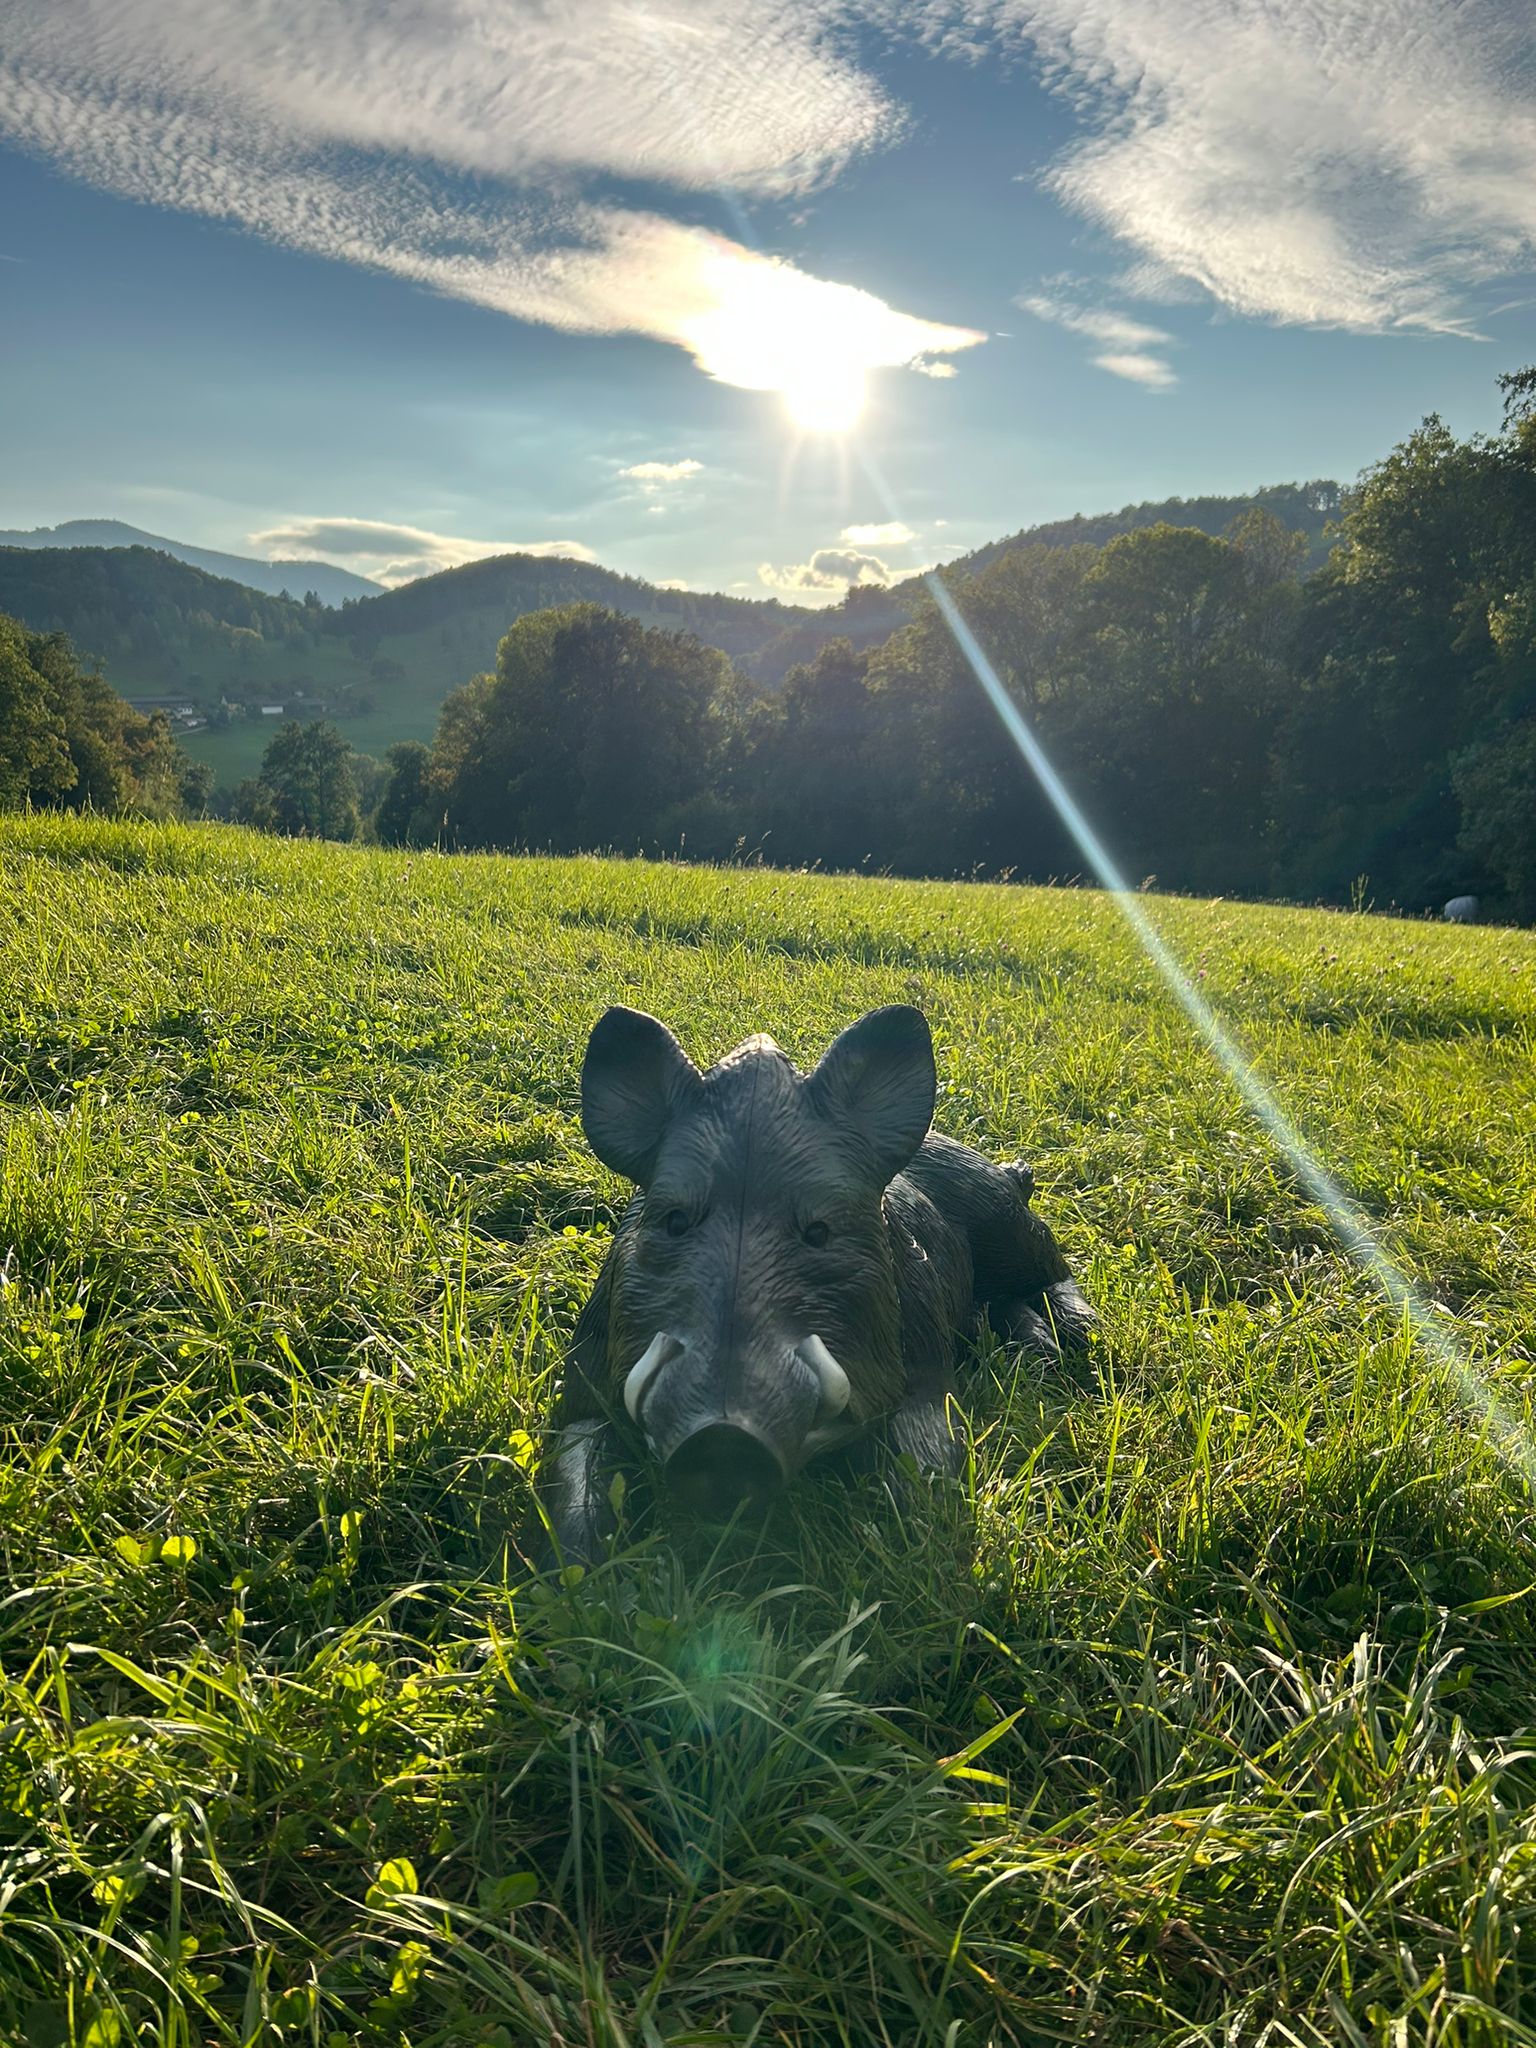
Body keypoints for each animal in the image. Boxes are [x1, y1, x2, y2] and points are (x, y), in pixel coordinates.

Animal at [542, 1003, 1094, 1562]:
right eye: (675, 1222)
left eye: (819, 1232)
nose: (722, 1435)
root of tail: (1007, 1170)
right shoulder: (584, 1376)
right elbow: (574, 1461)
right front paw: (581, 1563)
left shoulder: (923, 1360)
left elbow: (929, 1455)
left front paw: (918, 1540)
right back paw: (1038, 1352)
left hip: (1001, 1216)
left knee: (1052, 1268)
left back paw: (1075, 1336)